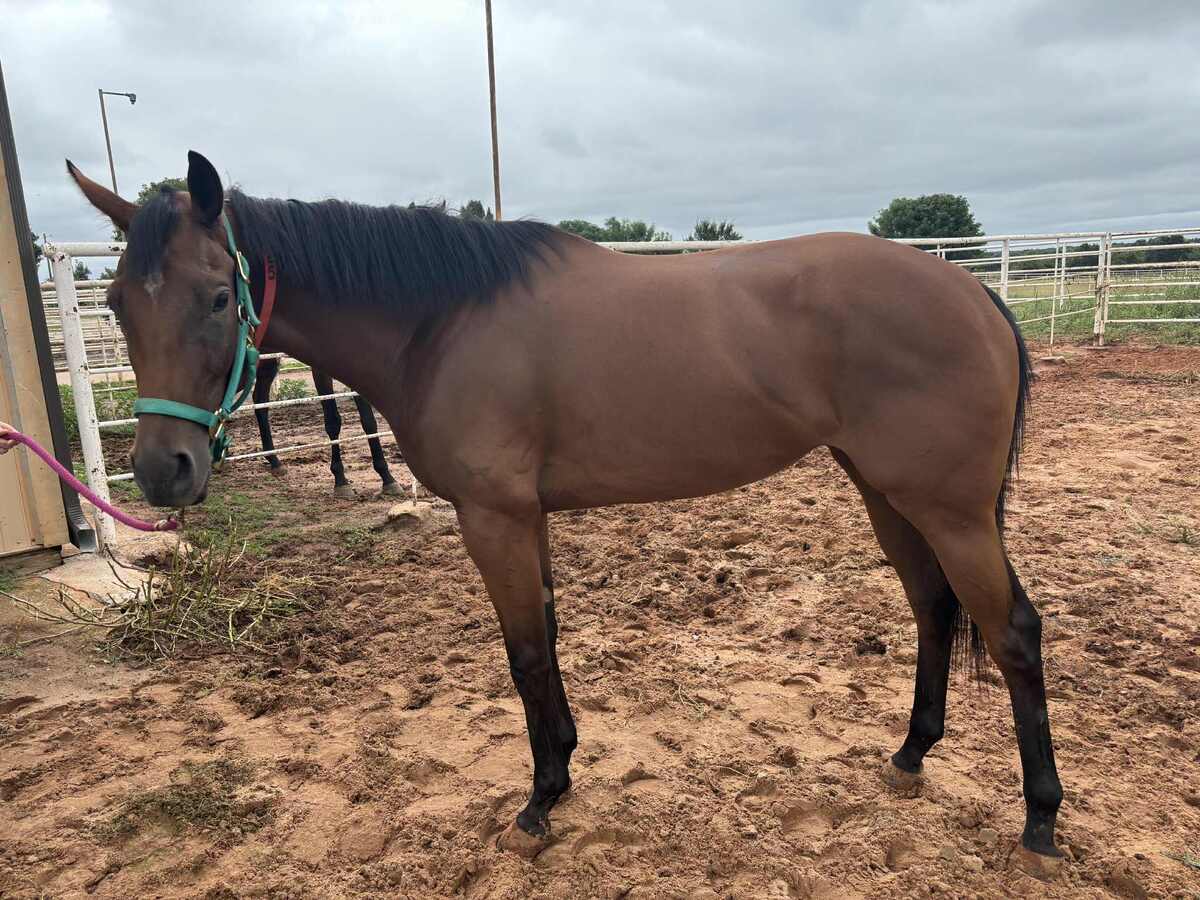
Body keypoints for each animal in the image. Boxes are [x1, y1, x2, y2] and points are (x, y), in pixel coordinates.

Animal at [251, 357, 402, 498]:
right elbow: (333, 422)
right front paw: (340, 480)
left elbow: (369, 421)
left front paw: (387, 478)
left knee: (260, 400)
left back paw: (274, 460)